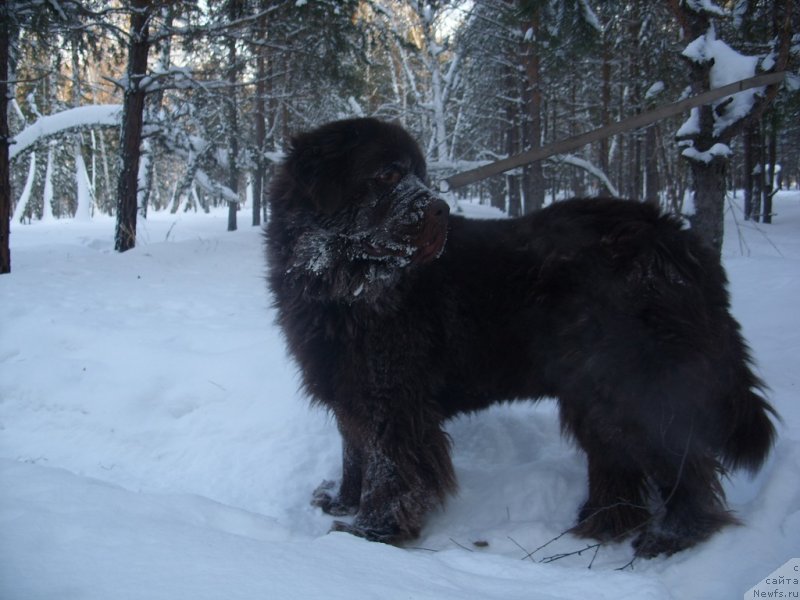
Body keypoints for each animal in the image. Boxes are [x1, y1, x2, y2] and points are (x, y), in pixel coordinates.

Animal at [266, 117, 780, 556]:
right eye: (388, 174)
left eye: (419, 176)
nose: (439, 207)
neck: (345, 279)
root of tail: (679, 242)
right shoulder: (351, 390)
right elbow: (355, 452)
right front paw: (343, 501)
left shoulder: (392, 400)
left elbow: (389, 469)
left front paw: (371, 533)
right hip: (593, 391)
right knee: (618, 457)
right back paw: (600, 522)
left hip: (636, 382)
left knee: (682, 460)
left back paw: (671, 536)